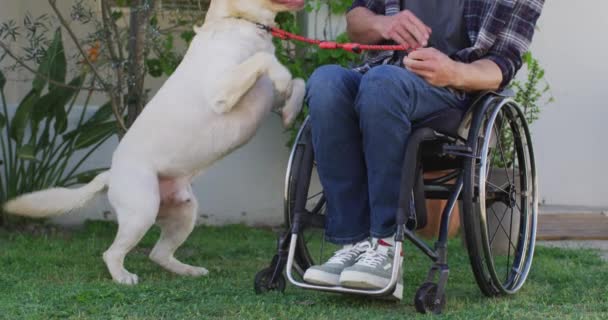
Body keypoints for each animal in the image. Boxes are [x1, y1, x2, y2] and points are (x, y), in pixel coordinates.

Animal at [4, 0, 306, 284]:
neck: (239, 21)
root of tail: (110, 175)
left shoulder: (267, 98)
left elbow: (299, 82)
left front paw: (291, 112)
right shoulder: (220, 91)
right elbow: (268, 64)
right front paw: (284, 80)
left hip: (184, 213)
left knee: (158, 254)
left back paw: (189, 271)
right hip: (142, 211)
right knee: (112, 253)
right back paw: (124, 277)